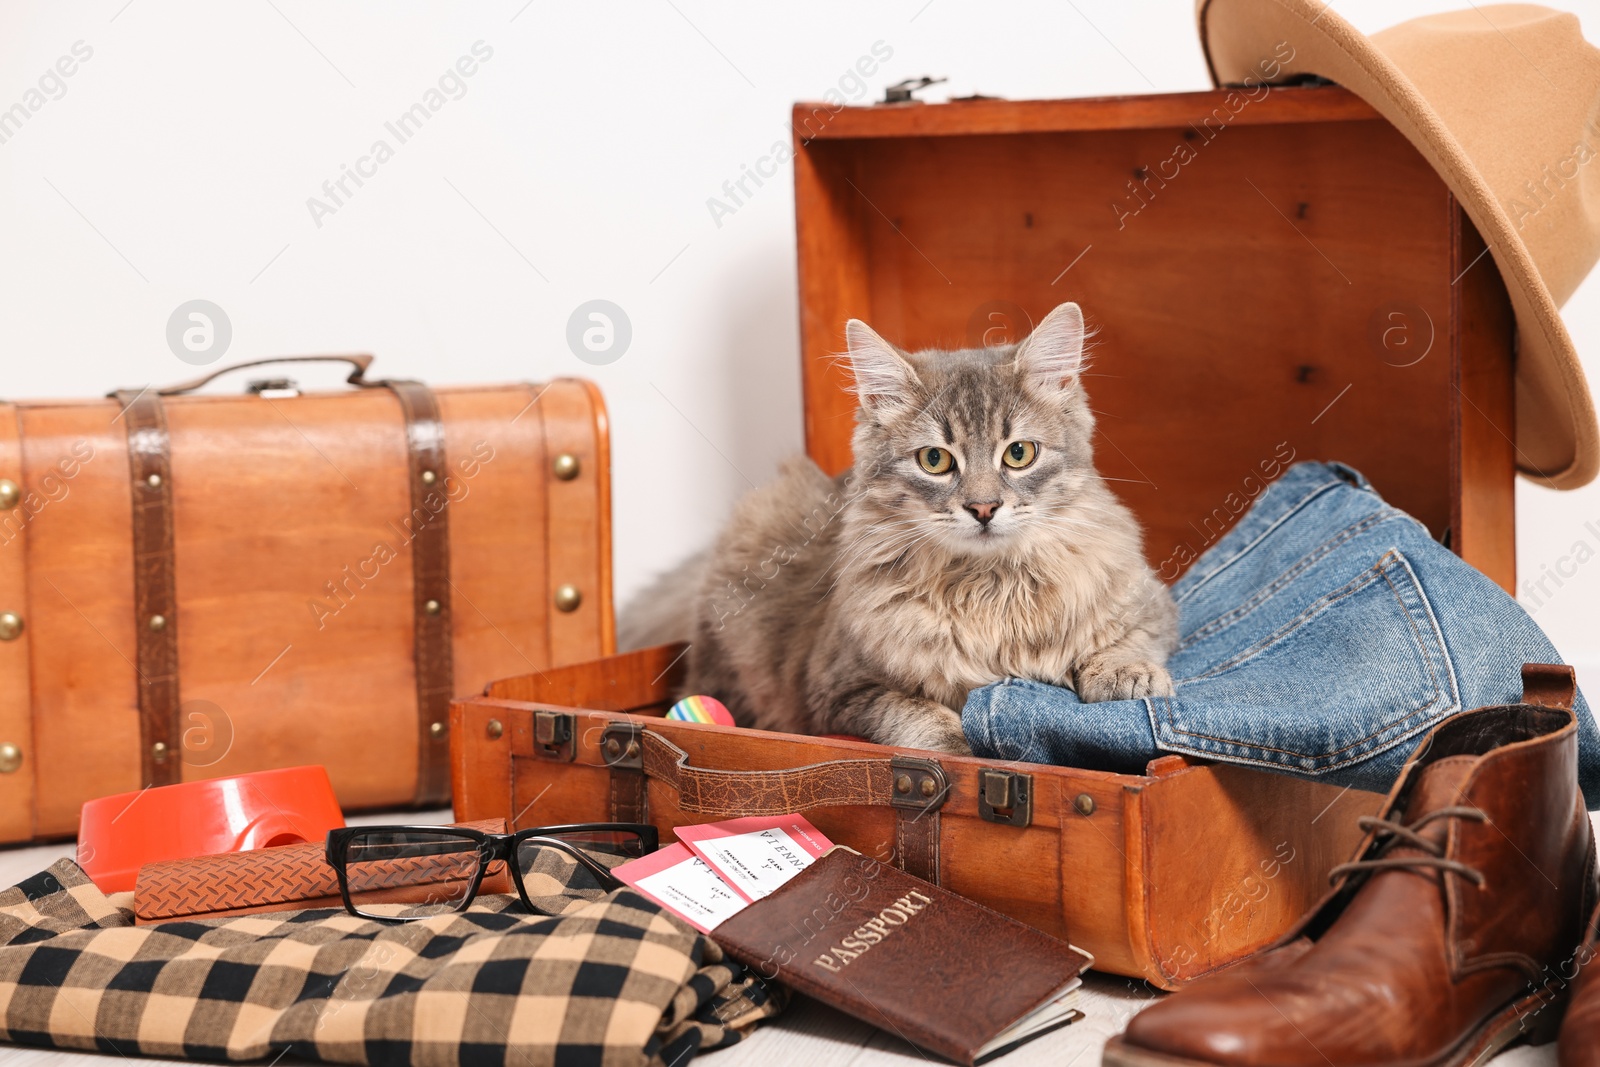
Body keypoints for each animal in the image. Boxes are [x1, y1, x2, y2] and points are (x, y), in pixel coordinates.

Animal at [620, 299, 1177, 751]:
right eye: (935, 460)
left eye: (1019, 453)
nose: (983, 508)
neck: (988, 589)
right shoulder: (843, 689)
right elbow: (919, 715)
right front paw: (960, 746)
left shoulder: (1153, 605)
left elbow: (1130, 641)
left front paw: (1129, 676)